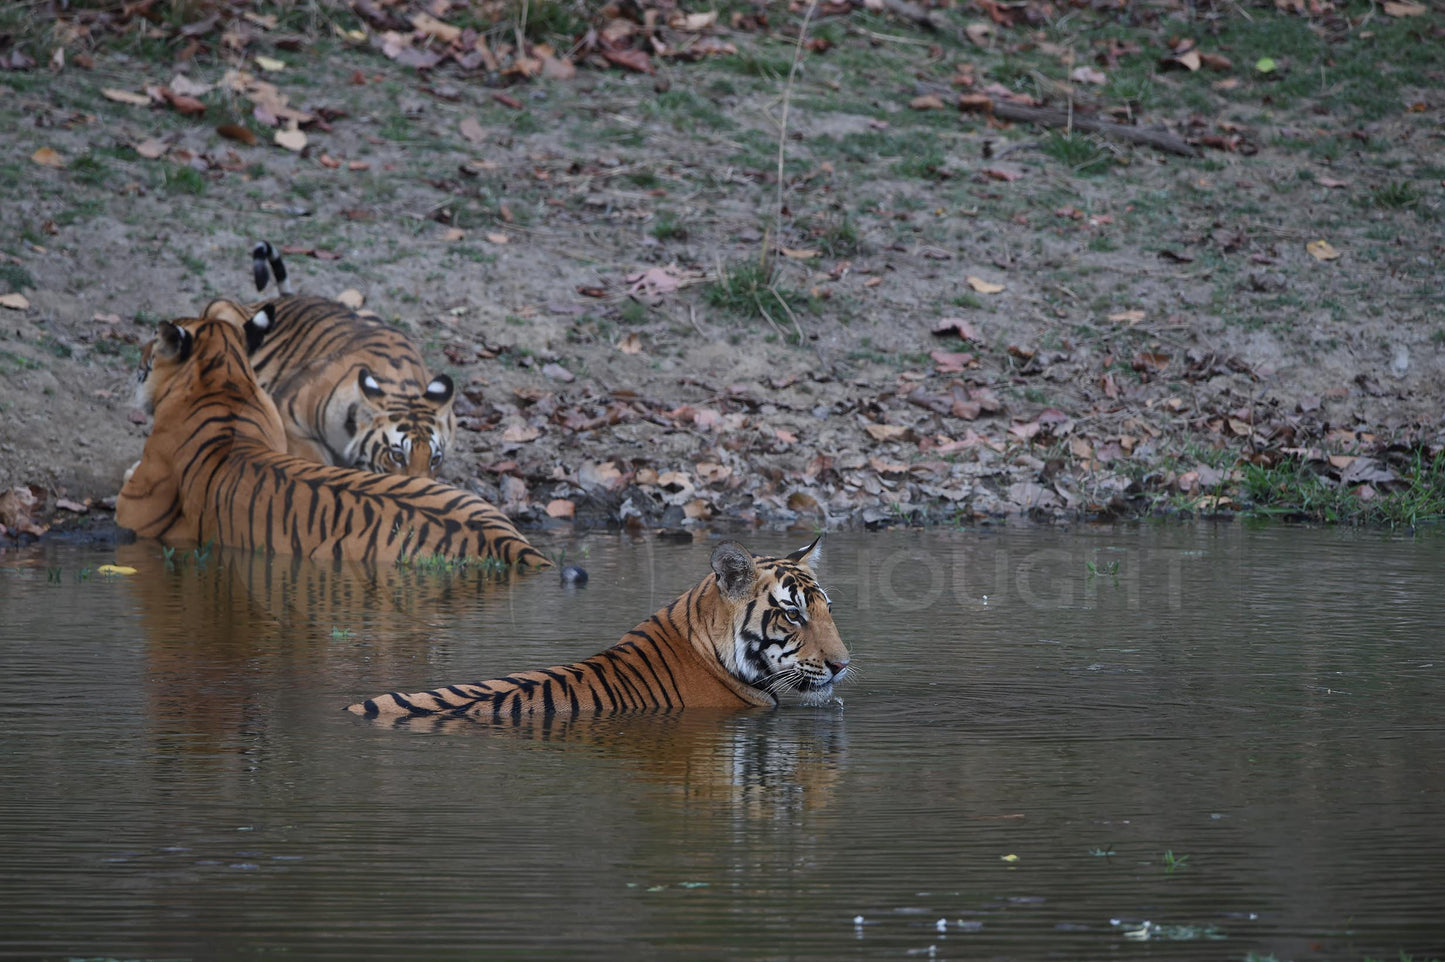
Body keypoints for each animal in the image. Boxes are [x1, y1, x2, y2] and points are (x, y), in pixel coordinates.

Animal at [200, 241, 453, 476]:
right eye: (397, 456)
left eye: (435, 459)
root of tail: (290, 297)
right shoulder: (289, 417)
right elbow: (315, 460)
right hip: (221, 309)